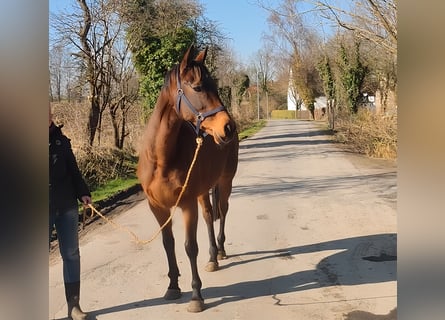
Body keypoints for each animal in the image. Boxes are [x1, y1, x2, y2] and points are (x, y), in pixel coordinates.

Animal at [136, 45, 238, 312]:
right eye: (198, 87)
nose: (228, 127)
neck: (161, 159)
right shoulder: (158, 207)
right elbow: (168, 244)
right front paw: (173, 286)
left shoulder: (186, 204)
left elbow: (190, 247)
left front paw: (196, 296)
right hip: (203, 191)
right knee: (209, 216)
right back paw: (212, 258)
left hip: (225, 182)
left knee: (223, 212)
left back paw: (220, 251)